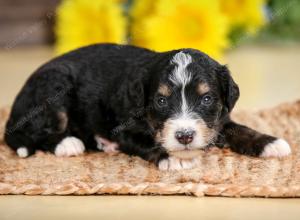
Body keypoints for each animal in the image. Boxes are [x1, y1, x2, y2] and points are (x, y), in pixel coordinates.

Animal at [4, 43, 290, 170]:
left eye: (206, 99)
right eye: (161, 101)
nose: (185, 136)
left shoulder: (218, 118)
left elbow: (238, 128)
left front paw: (270, 143)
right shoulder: (124, 129)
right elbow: (146, 141)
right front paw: (174, 157)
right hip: (54, 88)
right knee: (38, 133)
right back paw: (68, 144)